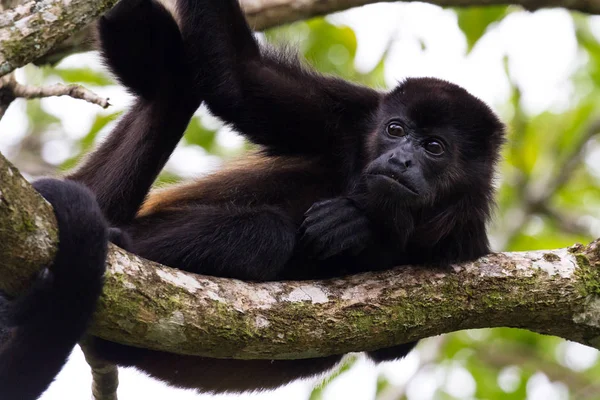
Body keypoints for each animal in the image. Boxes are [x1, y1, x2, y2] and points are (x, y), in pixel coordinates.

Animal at [1, 0, 506, 396]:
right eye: (395, 130)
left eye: (434, 147)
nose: (400, 158)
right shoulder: (350, 115)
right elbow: (238, 76)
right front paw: (360, 222)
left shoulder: (465, 239)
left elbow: (394, 345)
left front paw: (360, 226)